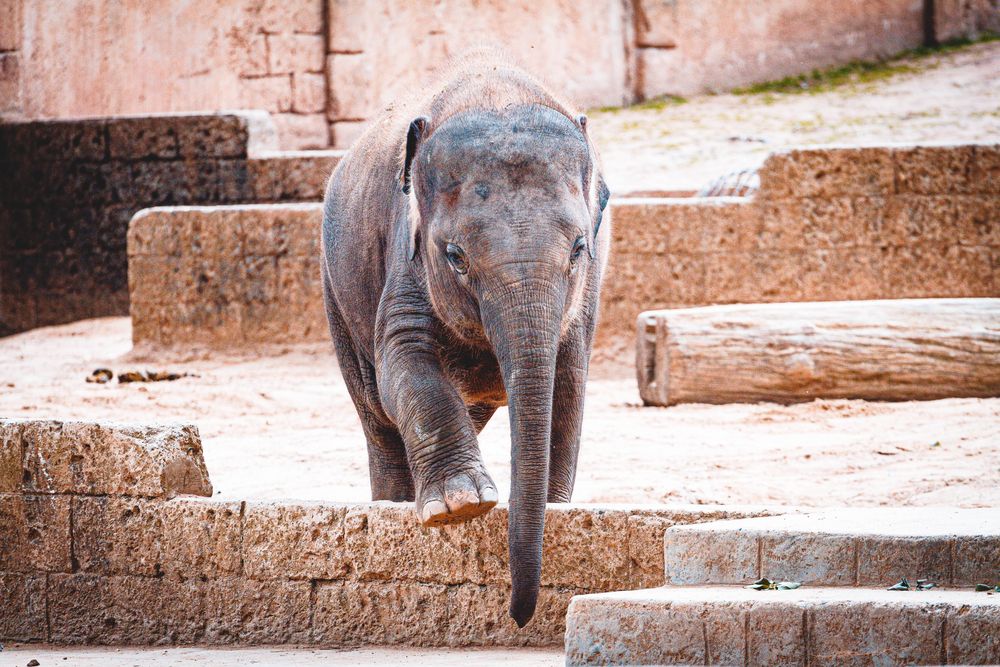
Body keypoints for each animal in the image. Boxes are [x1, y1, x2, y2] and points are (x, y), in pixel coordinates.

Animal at [324, 51, 608, 628]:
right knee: (374, 409)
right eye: (455, 256)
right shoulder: (405, 252)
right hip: (336, 292)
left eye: (577, 249)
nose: (518, 615)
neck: (495, 92)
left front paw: (554, 507)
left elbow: (568, 383)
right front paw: (460, 507)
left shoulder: (585, 294)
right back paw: (395, 503)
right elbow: (403, 363)